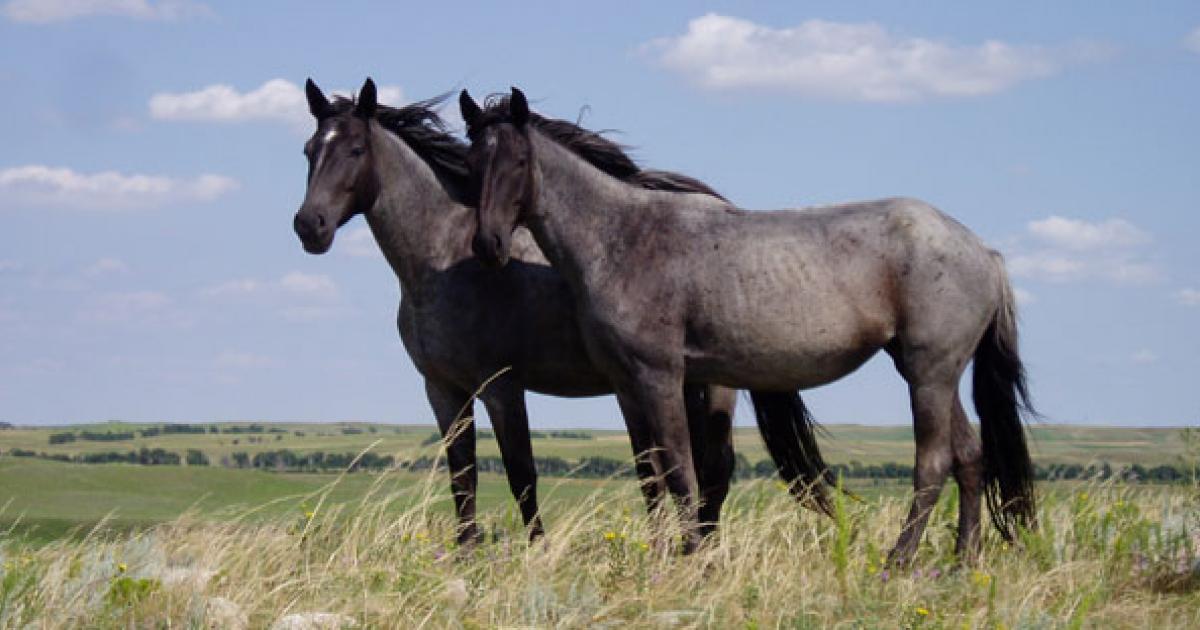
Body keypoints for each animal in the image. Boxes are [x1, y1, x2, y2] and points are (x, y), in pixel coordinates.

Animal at [292, 78, 829, 545]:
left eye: (355, 151)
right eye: (309, 150)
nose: (308, 226)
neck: (441, 261)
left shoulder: (502, 387)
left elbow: (521, 474)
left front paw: (536, 551)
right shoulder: (442, 390)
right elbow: (462, 477)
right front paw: (465, 554)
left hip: (714, 385)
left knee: (714, 471)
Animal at [459, 87, 1036, 562]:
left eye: (519, 160)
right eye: (471, 163)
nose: (487, 245)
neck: (622, 238)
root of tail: (983, 251)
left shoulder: (661, 377)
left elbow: (681, 473)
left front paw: (690, 558)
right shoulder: (625, 385)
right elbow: (650, 476)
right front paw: (658, 556)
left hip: (928, 375)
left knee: (933, 463)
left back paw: (899, 561)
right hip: (932, 373)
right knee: (970, 458)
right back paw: (963, 560)